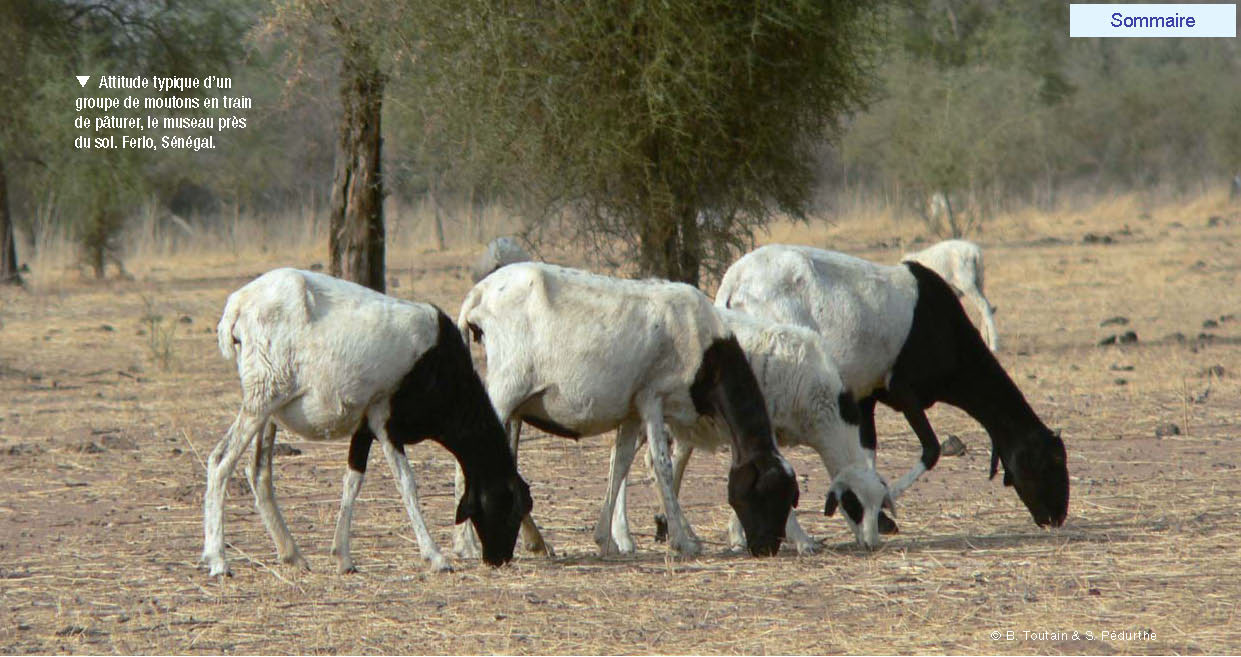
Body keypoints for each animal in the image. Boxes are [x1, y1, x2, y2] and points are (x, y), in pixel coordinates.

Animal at [203, 265, 533, 573]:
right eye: (510, 507)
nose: (499, 558)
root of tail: (237, 305)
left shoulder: (364, 426)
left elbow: (352, 481)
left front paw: (343, 557)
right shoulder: (385, 421)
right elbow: (406, 483)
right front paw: (436, 557)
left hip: (269, 410)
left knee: (259, 471)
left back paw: (292, 554)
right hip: (261, 399)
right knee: (220, 461)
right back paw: (218, 560)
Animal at [454, 263, 794, 556]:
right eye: (767, 494)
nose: (767, 548)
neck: (709, 355)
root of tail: (479, 293)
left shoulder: (632, 410)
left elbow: (620, 465)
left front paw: (606, 540)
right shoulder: (653, 398)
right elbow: (662, 466)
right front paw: (682, 542)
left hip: (515, 403)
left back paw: (537, 542)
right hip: (505, 388)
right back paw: (465, 545)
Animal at [608, 309, 893, 553]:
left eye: (880, 505)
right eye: (853, 504)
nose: (872, 544)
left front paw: (738, 535)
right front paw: (802, 541)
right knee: (624, 460)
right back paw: (624, 536)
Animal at [714, 245, 1072, 526]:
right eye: (1052, 461)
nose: (1056, 517)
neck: (947, 331)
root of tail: (734, 283)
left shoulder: (866, 396)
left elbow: (869, 449)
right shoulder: (903, 390)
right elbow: (931, 450)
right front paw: (886, 504)